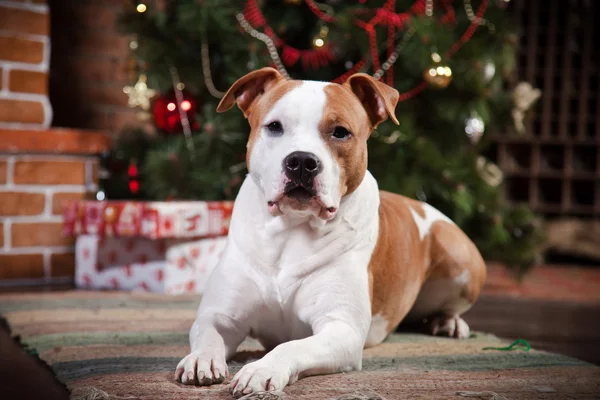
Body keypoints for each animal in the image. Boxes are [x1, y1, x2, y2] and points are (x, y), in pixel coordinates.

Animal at [176, 67, 486, 396]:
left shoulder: (341, 329)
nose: (301, 161)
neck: (292, 228)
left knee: (451, 304)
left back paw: (449, 322)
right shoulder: (221, 316)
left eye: (340, 132)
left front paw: (261, 368)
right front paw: (201, 360)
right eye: (274, 126)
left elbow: (292, 346)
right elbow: (208, 334)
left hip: (460, 260)